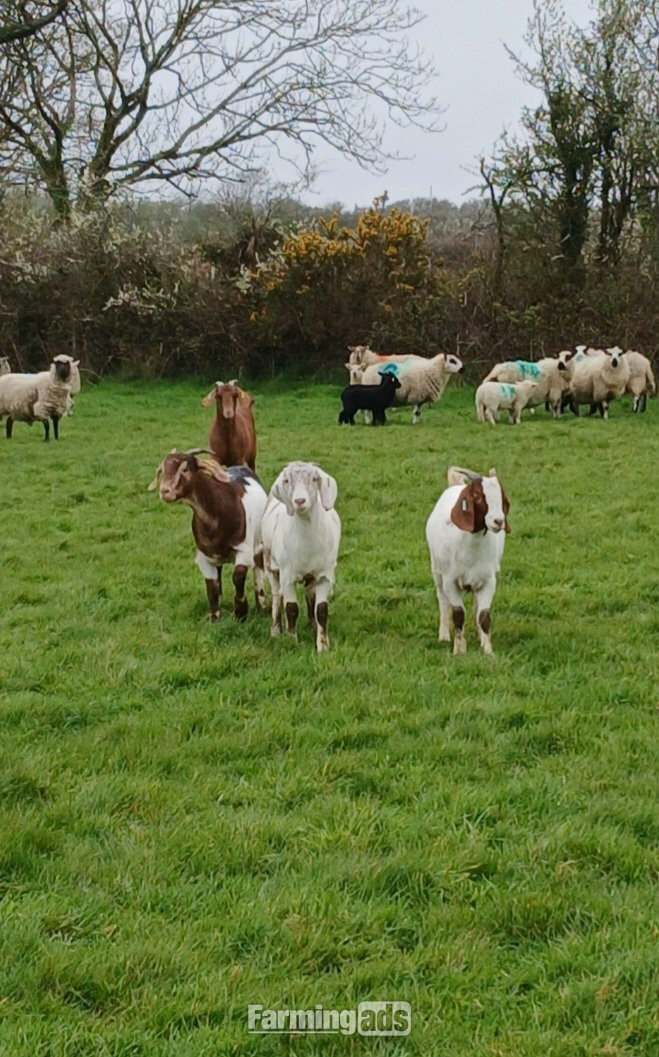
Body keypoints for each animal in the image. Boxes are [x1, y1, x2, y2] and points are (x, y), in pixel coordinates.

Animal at [425, 466, 510, 655]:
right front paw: (459, 650)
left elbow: (484, 615)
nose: (498, 521)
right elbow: (458, 614)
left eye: (501, 496)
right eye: (477, 496)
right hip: (437, 570)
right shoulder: (450, 581)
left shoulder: (489, 581)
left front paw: (488, 650)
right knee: (442, 600)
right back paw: (443, 636)